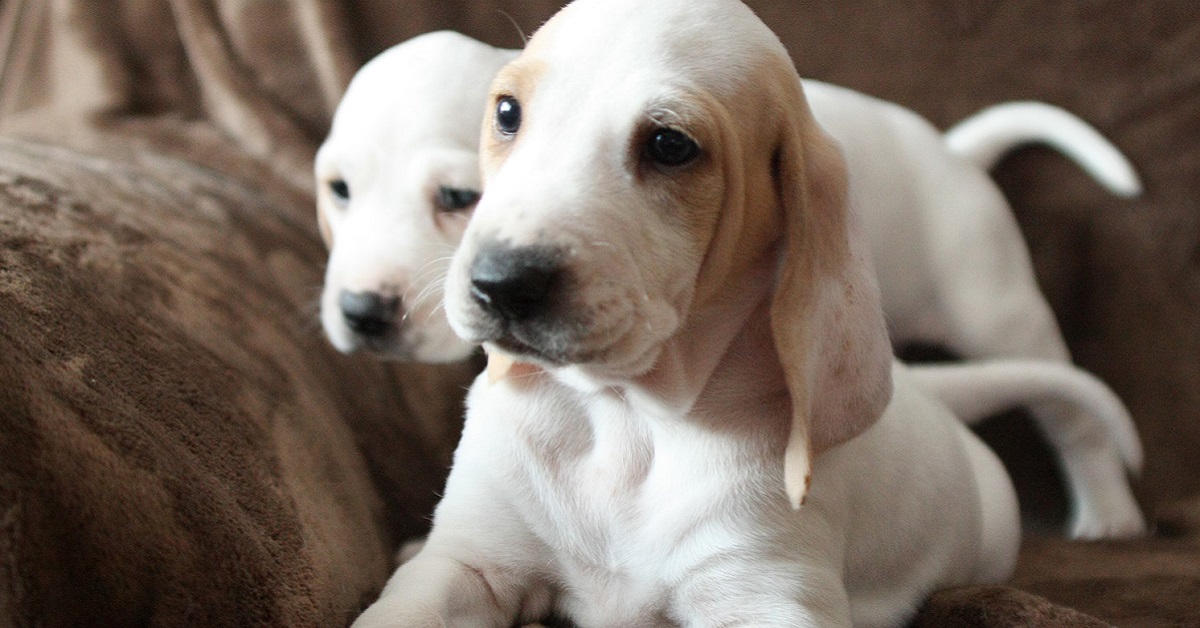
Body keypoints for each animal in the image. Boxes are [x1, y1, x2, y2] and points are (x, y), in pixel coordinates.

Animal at [345, 1, 1123, 624]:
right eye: (507, 113)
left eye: (670, 145)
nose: (502, 283)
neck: (626, 422)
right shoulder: (469, 564)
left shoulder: (764, 591)